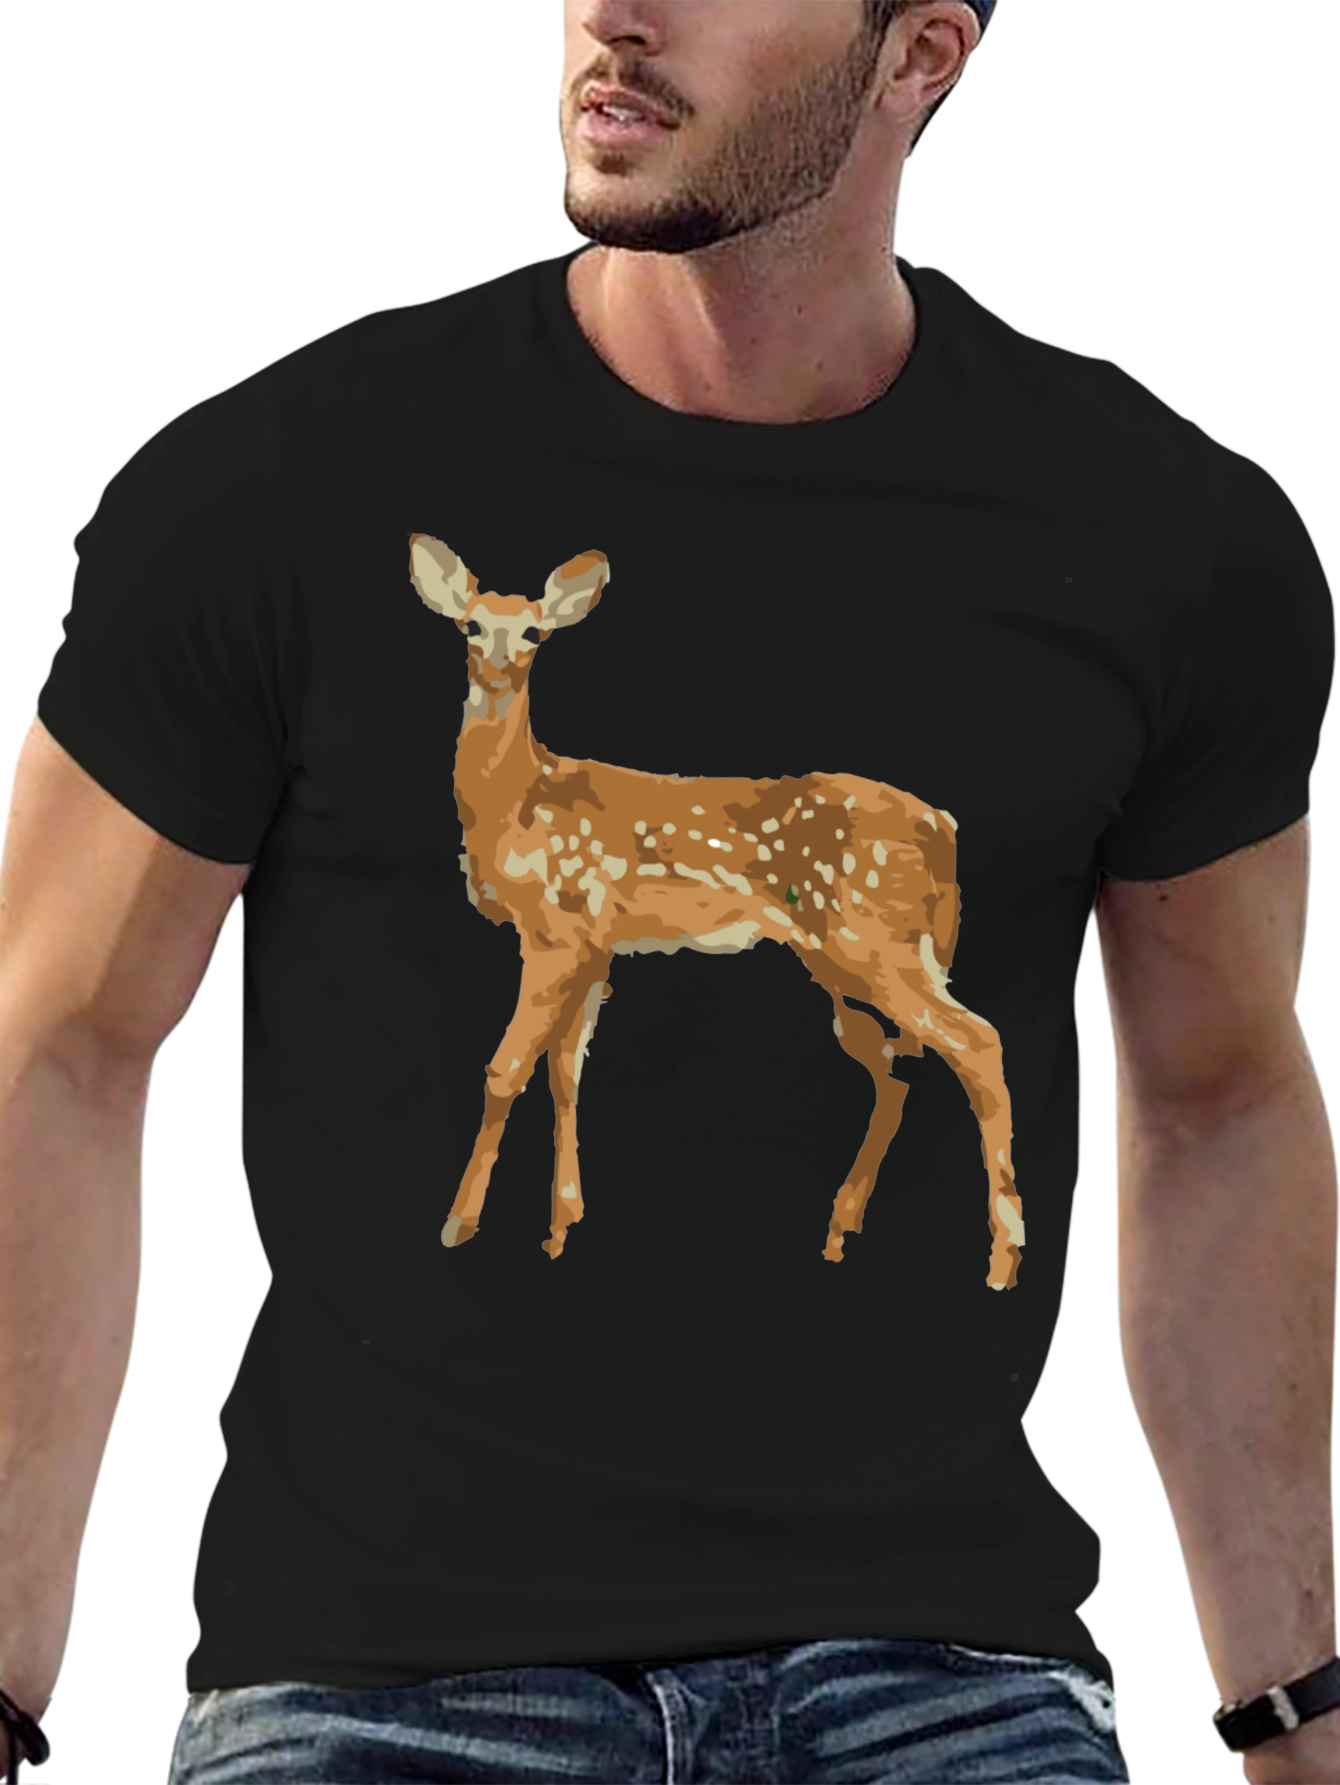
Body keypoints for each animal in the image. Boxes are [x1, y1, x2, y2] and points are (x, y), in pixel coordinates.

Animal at [409, 534, 1024, 1290]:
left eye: (534, 632)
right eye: (470, 625)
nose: (496, 669)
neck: (514, 804)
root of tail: (943, 827)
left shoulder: (558, 928)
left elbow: (505, 1070)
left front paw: (459, 1224)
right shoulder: (596, 943)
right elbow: (565, 1072)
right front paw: (562, 1226)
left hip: (875, 938)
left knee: (976, 1042)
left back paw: (1001, 1258)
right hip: (843, 958)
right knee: (896, 1069)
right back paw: (840, 1229)